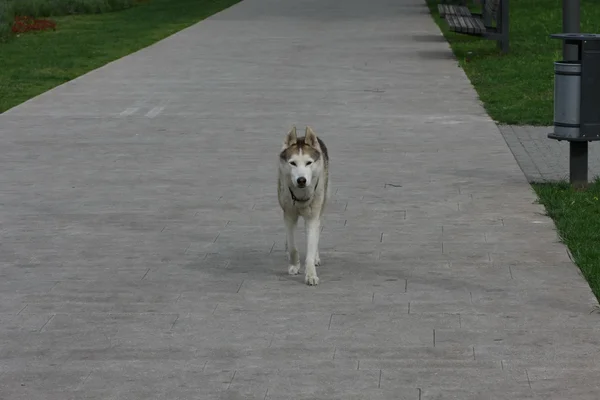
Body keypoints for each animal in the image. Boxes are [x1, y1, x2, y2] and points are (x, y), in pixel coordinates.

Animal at [276, 126, 328, 286]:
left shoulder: (312, 218)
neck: (300, 196)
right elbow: (293, 245)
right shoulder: (289, 215)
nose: (301, 180)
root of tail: (300, 136)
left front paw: (311, 275)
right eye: (293, 163)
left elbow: (311, 246)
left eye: (308, 163)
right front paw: (294, 265)